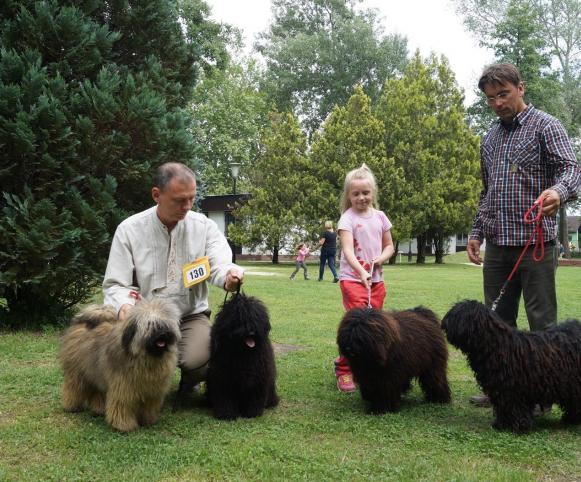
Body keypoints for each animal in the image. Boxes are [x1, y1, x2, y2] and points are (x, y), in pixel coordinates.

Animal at [60, 300, 180, 432]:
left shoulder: (153, 390)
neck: (145, 357)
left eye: (165, 324)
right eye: (150, 324)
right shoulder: (123, 386)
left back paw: (98, 409)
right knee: (73, 387)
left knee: (97, 390)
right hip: (77, 371)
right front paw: (123, 425)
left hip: (96, 371)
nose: (163, 334)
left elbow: (149, 406)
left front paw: (148, 420)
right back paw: (72, 406)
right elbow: (122, 404)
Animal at [206, 292, 278, 420]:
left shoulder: (258, 376)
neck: (243, 353)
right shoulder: (223, 377)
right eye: (239, 319)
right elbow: (225, 397)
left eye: (255, 318)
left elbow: (255, 396)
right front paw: (226, 414)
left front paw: (252, 412)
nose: (251, 332)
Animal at [442, 302, 580, 434]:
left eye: (456, 315)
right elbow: (504, 407)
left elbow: (515, 407)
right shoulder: (500, 390)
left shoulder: (514, 389)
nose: (444, 323)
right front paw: (501, 424)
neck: (496, 345)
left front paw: (517, 427)